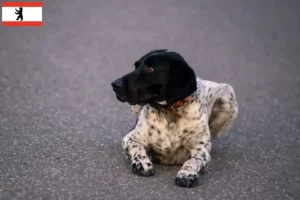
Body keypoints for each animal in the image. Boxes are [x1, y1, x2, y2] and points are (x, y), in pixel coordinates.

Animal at [110, 48, 239, 188]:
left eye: (150, 69)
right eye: (136, 66)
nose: (115, 85)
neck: (170, 111)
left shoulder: (201, 150)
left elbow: (193, 161)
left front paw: (187, 174)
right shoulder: (130, 138)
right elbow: (137, 148)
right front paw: (142, 162)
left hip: (227, 95)